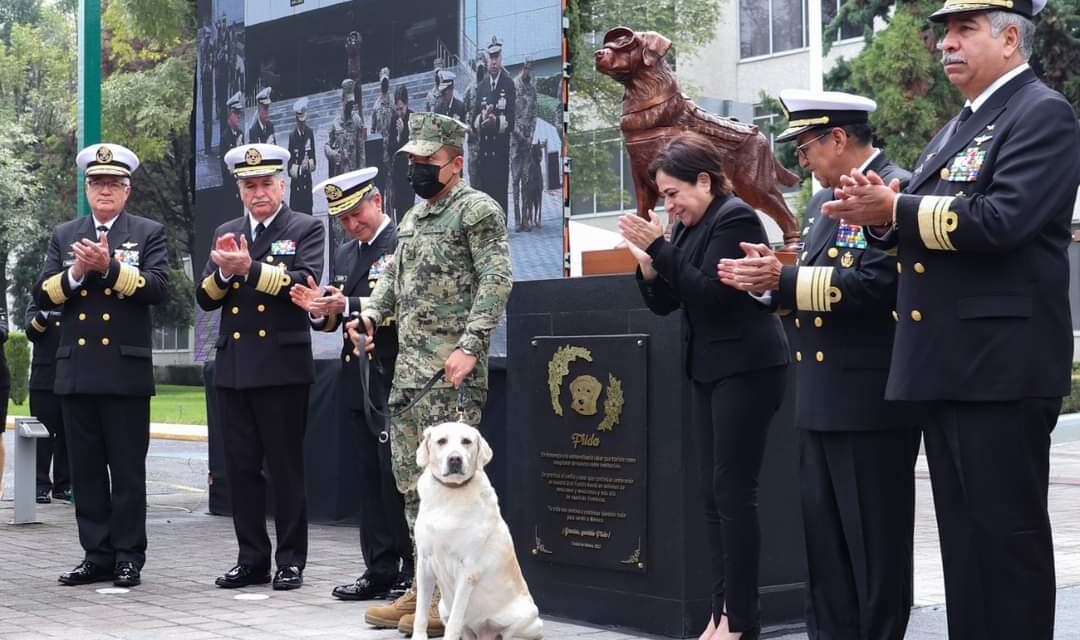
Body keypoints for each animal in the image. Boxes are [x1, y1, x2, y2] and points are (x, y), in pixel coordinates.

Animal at [412, 420, 544, 638]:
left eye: (466, 441)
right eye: (442, 441)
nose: (455, 459)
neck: (450, 493)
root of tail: (485, 634)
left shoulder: (467, 570)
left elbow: (456, 620)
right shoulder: (424, 564)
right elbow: (420, 615)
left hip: (526, 619)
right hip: (442, 607)